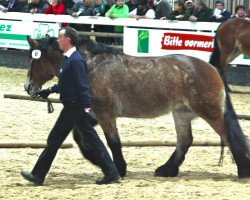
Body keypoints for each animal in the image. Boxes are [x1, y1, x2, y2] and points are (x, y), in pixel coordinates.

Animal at [24, 35, 250, 179]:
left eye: (33, 60)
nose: (27, 87)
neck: (90, 65)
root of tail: (212, 68)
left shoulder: (105, 114)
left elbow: (113, 142)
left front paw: (119, 169)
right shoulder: (93, 114)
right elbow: (80, 135)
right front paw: (97, 160)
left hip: (210, 113)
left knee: (228, 136)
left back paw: (243, 171)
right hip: (181, 114)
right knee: (185, 141)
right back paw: (167, 170)